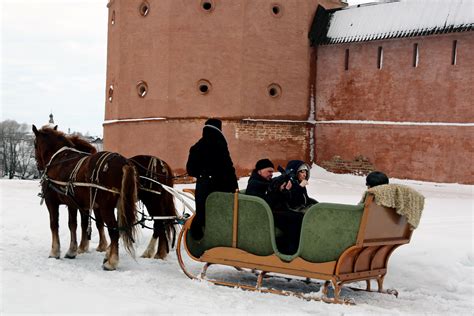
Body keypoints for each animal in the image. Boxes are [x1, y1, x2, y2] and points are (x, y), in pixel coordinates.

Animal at [32, 124, 137, 270]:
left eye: (35, 144)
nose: (38, 165)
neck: (59, 159)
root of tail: (123, 162)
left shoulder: (51, 201)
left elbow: (54, 225)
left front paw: (54, 252)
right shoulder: (72, 203)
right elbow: (73, 225)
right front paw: (72, 250)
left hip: (106, 208)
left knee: (114, 230)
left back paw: (111, 262)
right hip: (120, 206)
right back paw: (108, 255)